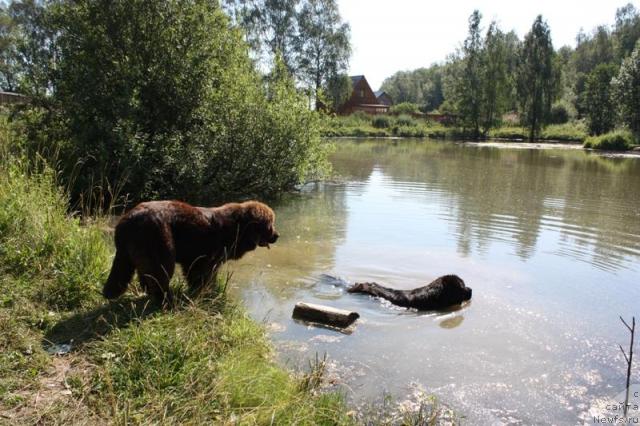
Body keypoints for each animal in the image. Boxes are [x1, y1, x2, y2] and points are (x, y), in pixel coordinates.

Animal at [102, 201, 278, 304]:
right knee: (158, 278)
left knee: (145, 277)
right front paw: (205, 294)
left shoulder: (201, 261)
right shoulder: (203, 260)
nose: (277, 236)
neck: (238, 228)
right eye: (270, 225)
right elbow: (201, 278)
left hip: (134, 256)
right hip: (162, 250)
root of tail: (127, 221)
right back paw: (166, 301)